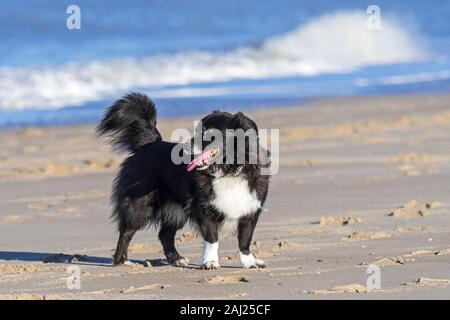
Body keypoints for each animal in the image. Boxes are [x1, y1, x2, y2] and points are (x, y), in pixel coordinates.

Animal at [96, 93, 268, 270]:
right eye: (196, 130)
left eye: (208, 133)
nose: (185, 148)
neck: (227, 170)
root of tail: (149, 144)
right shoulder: (205, 211)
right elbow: (212, 240)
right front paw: (210, 262)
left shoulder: (250, 209)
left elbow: (245, 239)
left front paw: (250, 262)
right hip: (140, 206)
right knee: (127, 231)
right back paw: (121, 261)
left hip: (176, 210)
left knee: (164, 234)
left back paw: (176, 259)